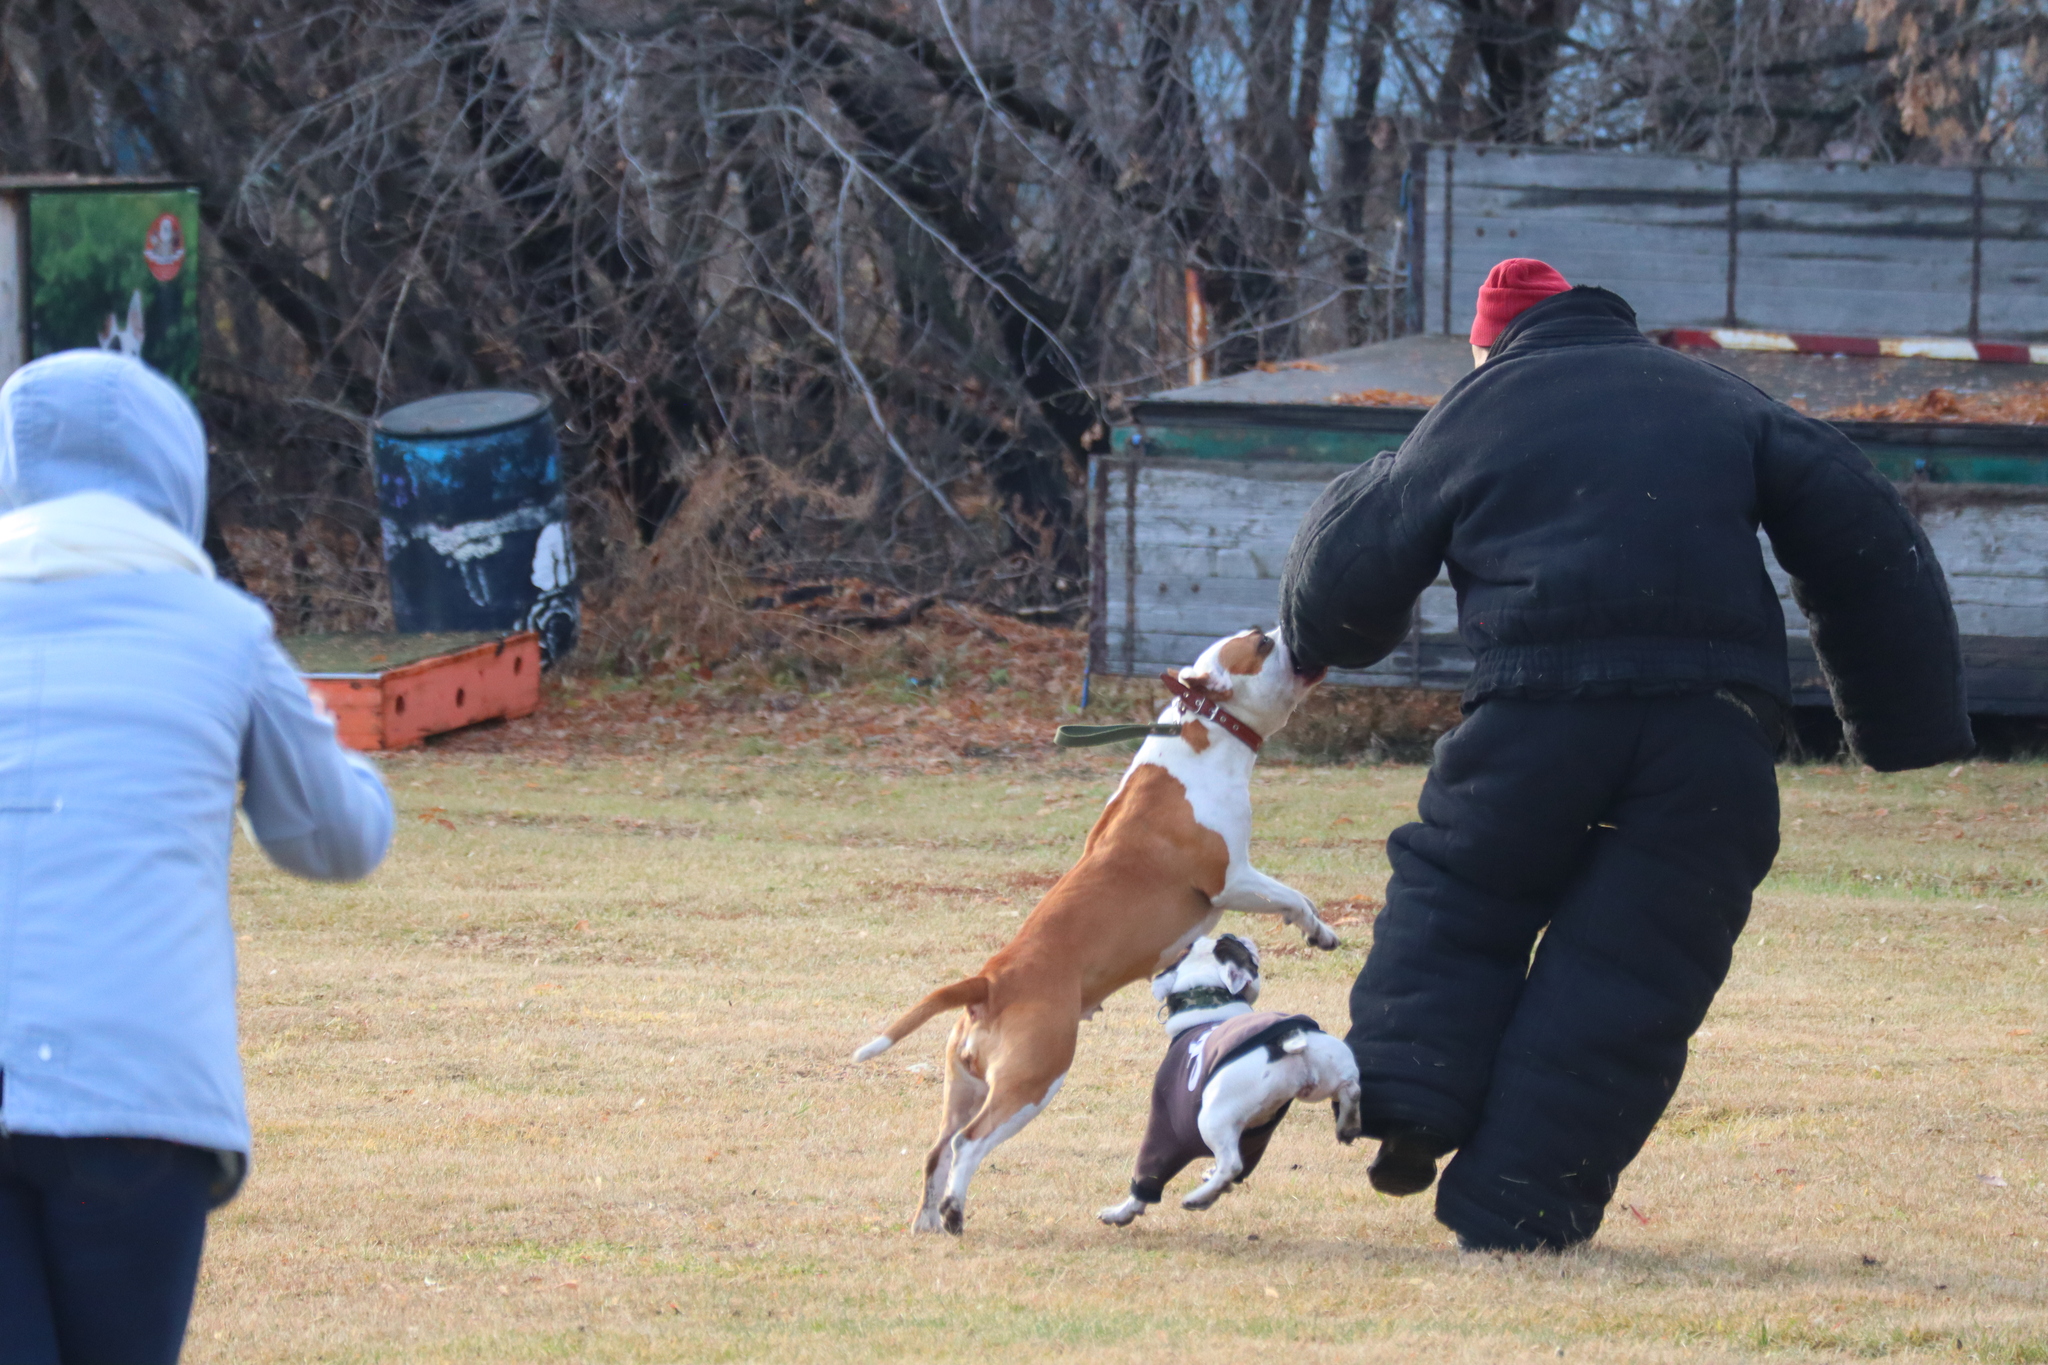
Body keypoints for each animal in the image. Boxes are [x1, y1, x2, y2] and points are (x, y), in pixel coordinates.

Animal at [847, 630, 1327, 1236]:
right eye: (1263, 644)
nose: (1291, 635)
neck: (1205, 728)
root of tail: (989, 981)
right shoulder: (1232, 879)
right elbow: (1292, 894)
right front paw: (1316, 928)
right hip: (1032, 1081)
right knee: (969, 1143)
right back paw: (954, 1213)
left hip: (964, 1086)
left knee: (937, 1148)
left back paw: (929, 1221)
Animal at [1105, 933, 1359, 1219]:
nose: (1231, 934)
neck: (1208, 999)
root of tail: (1288, 1038)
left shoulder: (1165, 1123)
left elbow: (1146, 1177)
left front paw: (1121, 1212)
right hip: (1328, 1064)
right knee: (1351, 1089)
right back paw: (1348, 1126)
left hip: (1213, 1118)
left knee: (1231, 1165)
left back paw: (1197, 1198)